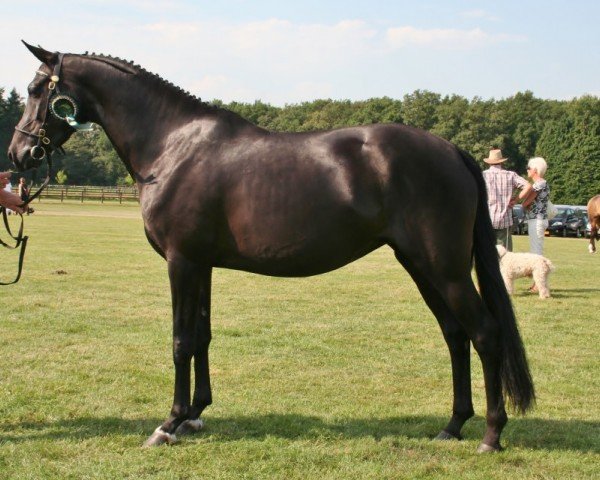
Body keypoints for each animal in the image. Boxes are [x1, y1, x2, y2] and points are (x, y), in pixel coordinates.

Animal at [8, 43, 536, 452]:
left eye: (37, 91)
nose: (19, 154)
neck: (173, 145)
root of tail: (450, 150)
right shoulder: (202, 265)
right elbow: (202, 337)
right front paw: (195, 414)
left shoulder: (182, 262)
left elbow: (180, 341)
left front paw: (168, 424)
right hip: (422, 266)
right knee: (455, 334)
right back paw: (453, 425)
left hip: (444, 269)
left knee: (485, 333)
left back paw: (491, 435)